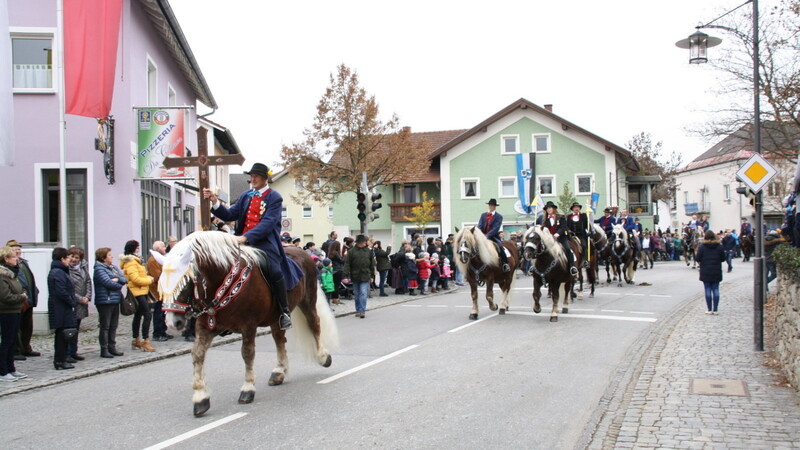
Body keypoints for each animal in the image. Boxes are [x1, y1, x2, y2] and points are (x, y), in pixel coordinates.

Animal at [159, 232, 338, 418]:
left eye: (185, 282)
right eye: (161, 283)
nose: (172, 322)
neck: (222, 280)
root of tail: (301, 252)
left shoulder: (248, 325)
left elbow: (247, 353)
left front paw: (248, 388)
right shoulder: (206, 327)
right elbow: (197, 354)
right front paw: (200, 397)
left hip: (307, 301)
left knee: (314, 325)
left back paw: (323, 357)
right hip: (276, 317)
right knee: (279, 339)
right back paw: (279, 371)